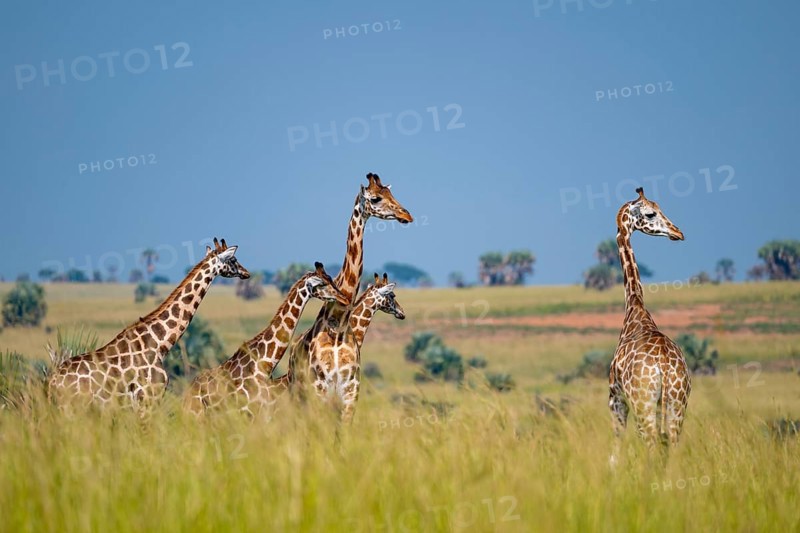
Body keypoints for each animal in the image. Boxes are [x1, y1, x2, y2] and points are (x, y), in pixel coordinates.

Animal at [47, 238, 250, 415]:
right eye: (233, 259)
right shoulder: (149, 398)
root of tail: (52, 382)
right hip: (73, 408)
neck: (159, 342)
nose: (246, 273)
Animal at [183, 263, 348, 418]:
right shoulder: (249, 411)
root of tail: (187, 393)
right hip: (196, 414)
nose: (344, 299)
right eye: (322, 284)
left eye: (331, 280)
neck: (264, 364)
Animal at [287, 173, 412, 397]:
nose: (407, 216)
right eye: (375, 199)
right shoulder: (320, 387)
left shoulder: (351, 388)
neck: (340, 324)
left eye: (391, 194)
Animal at [609, 187, 690, 455]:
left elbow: (615, 449)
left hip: (642, 403)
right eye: (650, 213)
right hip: (676, 403)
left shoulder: (615, 398)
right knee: (671, 444)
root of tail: (664, 366)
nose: (678, 232)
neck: (635, 306)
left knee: (652, 443)